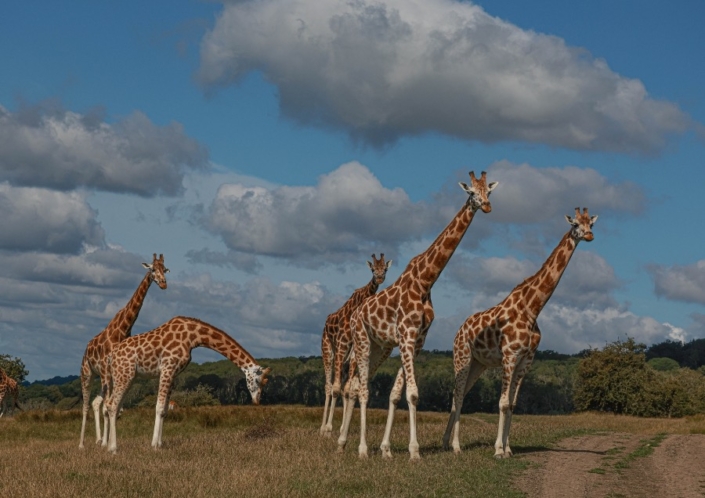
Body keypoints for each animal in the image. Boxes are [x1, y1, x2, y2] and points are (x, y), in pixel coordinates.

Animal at [78, 253, 169, 449]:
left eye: (165, 269)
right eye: (152, 269)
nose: (164, 284)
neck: (122, 329)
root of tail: (86, 348)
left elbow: (115, 408)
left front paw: (106, 442)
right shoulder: (106, 371)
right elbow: (108, 407)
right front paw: (107, 444)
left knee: (97, 402)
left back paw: (98, 439)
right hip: (87, 373)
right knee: (87, 405)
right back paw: (82, 444)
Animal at [104, 316, 271, 453]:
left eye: (265, 383)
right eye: (258, 381)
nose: (256, 401)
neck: (193, 336)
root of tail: (111, 356)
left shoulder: (174, 373)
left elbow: (165, 410)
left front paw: (160, 444)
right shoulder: (168, 367)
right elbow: (159, 407)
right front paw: (154, 446)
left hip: (128, 377)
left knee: (114, 406)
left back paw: (110, 446)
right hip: (124, 374)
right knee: (112, 405)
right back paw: (113, 448)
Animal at [320, 253, 392, 437]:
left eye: (385, 268)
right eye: (373, 269)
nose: (379, 277)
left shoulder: (352, 353)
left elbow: (346, 389)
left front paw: (342, 428)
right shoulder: (341, 346)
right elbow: (336, 389)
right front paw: (329, 428)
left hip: (344, 360)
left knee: (341, 387)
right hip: (328, 351)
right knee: (329, 386)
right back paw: (322, 428)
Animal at [339, 171, 498, 460]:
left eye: (489, 192)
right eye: (471, 192)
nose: (487, 207)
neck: (426, 282)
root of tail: (355, 315)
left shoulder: (417, 341)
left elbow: (397, 392)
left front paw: (388, 449)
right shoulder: (407, 335)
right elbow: (412, 393)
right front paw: (414, 451)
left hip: (380, 347)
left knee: (356, 386)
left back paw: (343, 442)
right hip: (363, 341)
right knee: (362, 389)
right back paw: (361, 449)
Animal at [442, 208, 598, 458]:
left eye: (590, 224)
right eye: (575, 224)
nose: (590, 235)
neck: (532, 308)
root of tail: (458, 331)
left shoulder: (526, 360)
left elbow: (513, 404)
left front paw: (508, 448)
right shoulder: (510, 355)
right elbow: (503, 402)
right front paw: (498, 450)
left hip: (478, 363)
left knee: (460, 395)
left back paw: (446, 442)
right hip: (462, 357)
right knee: (457, 395)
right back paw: (456, 446)